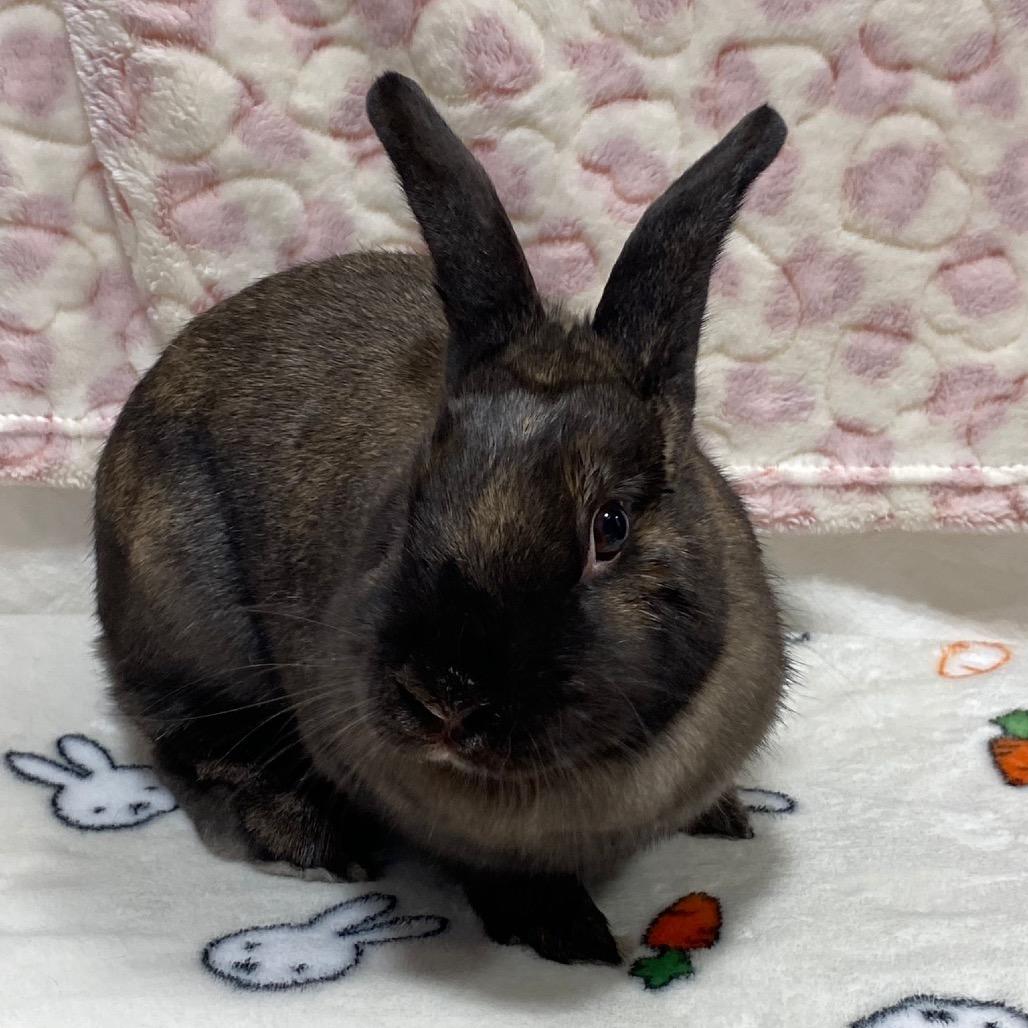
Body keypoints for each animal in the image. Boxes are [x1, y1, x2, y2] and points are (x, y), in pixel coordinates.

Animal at [94, 71, 788, 965]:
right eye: (416, 496)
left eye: (611, 527)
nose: (444, 695)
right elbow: (498, 874)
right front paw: (567, 934)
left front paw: (725, 815)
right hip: (191, 627)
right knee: (191, 743)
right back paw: (312, 838)